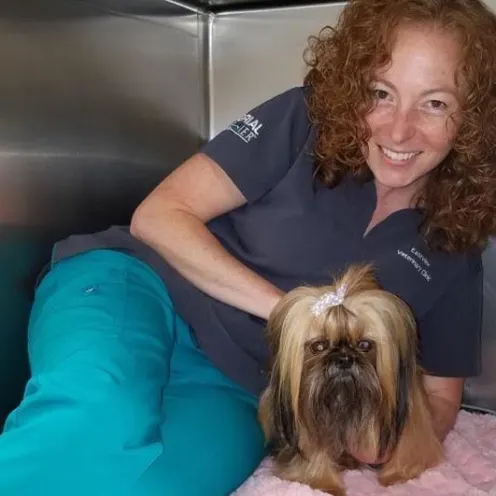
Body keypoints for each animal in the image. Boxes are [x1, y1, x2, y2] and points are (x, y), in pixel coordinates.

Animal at [260, 266, 442, 494]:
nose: (344, 358)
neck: (343, 400)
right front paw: (324, 483)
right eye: (318, 346)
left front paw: (395, 476)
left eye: (365, 345)